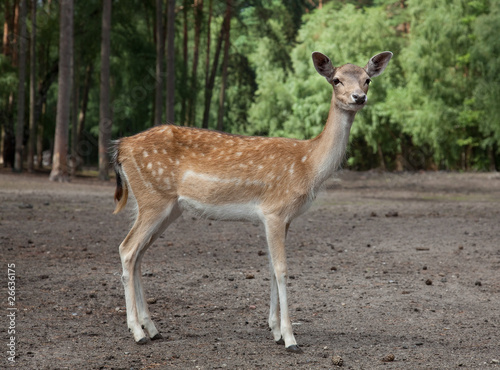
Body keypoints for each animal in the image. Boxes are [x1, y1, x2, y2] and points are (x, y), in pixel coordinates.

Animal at [111, 49, 392, 352]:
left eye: (367, 80)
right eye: (337, 79)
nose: (358, 97)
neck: (308, 165)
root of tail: (122, 147)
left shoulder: (283, 218)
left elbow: (269, 267)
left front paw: (275, 330)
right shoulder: (274, 211)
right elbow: (281, 269)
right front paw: (290, 339)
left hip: (166, 207)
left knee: (139, 254)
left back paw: (152, 329)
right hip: (153, 199)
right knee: (127, 249)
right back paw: (137, 332)